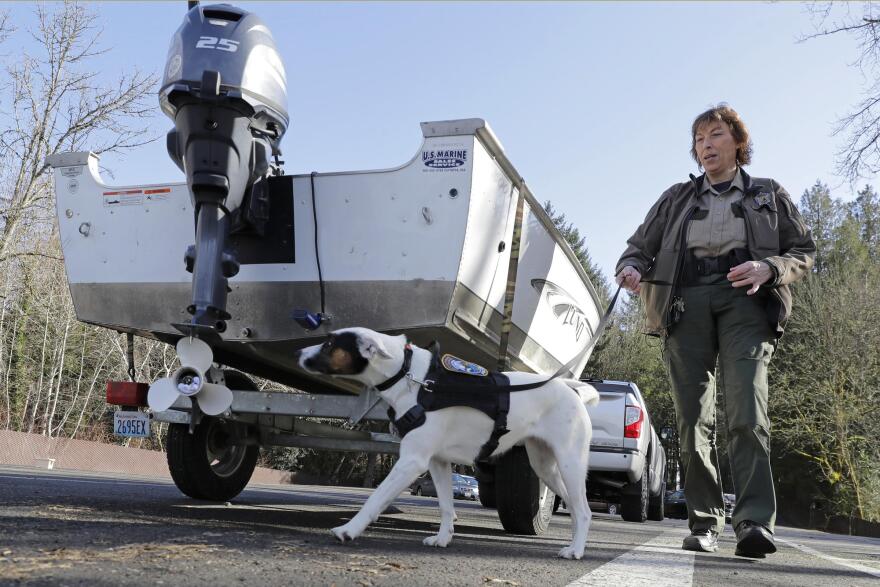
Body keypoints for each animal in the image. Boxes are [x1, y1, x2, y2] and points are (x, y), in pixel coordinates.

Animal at [298, 326, 600, 560]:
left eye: (329, 343)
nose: (298, 354)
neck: (410, 375)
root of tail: (574, 392)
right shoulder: (438, 462)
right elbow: (445, 505)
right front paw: (443, 539)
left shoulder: (411, 462)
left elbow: (375, 498)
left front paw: (348, 530)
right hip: (545, 467)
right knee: (575, 508)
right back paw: (574, 544)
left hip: (570, 464)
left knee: (584, 511)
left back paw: (576, 551)